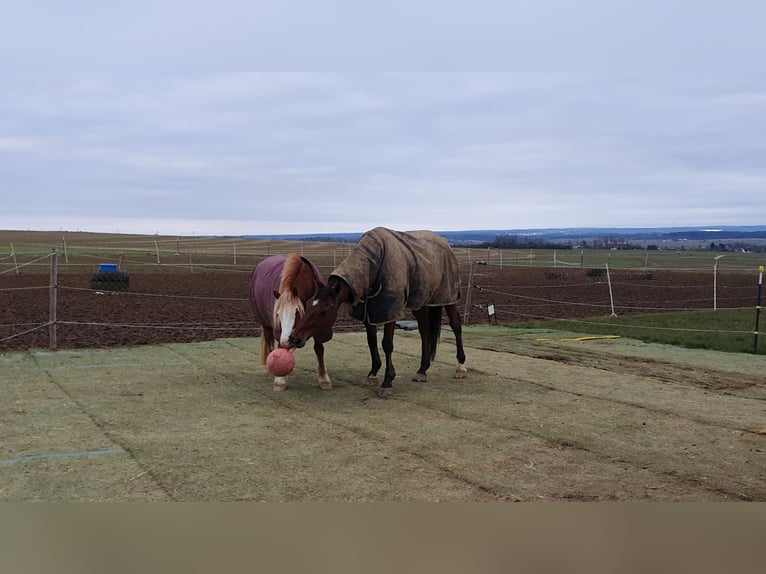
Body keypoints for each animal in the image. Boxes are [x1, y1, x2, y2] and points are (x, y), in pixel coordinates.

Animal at [249, 255, 332, 394]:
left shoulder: (319, 327)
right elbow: (280, 348)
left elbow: (319, 349)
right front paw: (279, 380)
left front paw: (324, 379)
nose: (286, 341)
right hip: (266, 324)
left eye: (297, 312)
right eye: (277, 314)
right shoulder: (279, 331)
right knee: (269, 343)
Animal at [288, 227, 468, 398]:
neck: (374, 265)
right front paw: (373, 373)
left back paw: (460, 367)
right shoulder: (368, 312)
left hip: (449, 298)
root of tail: (445, 243)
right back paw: (422, 370)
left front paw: (387, 381)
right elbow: (371, 341)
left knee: (456, 325)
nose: (294, 339)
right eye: (308, 305)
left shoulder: (390, 312)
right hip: (419, 303)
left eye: (324, 311)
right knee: (424, 330)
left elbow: (387, 344)